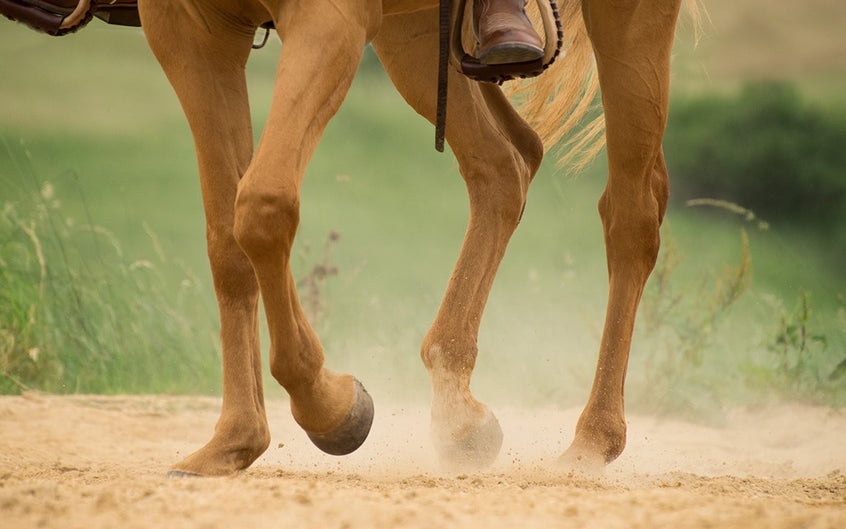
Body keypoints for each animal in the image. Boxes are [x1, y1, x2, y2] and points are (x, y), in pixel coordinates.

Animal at [6, 0, 688, 475]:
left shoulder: (327, 20)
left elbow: (262, 208)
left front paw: (329, 408)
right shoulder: (189, 30)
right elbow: (227, 238)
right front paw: (234, 441)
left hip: (628, 21)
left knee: (631, 211)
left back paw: (592, 441)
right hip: (415, 37)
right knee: (505, 164)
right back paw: (458, 413)